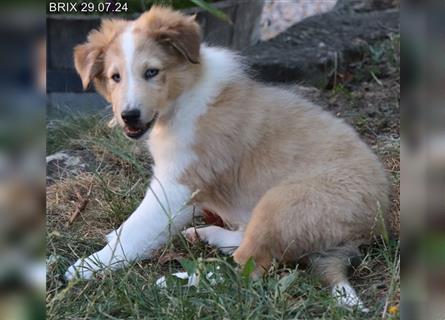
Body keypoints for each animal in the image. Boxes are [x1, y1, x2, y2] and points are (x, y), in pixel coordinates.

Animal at [66, 5, 388, 310]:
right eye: (115, 77)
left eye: (152, 72)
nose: (129, 116)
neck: (183, 96)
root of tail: (370, 227)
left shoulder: (177, 184)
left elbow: (138, 227)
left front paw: (90, 265)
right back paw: (207, 235)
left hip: (283, 200)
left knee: (249, 267)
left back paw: (178, 281)